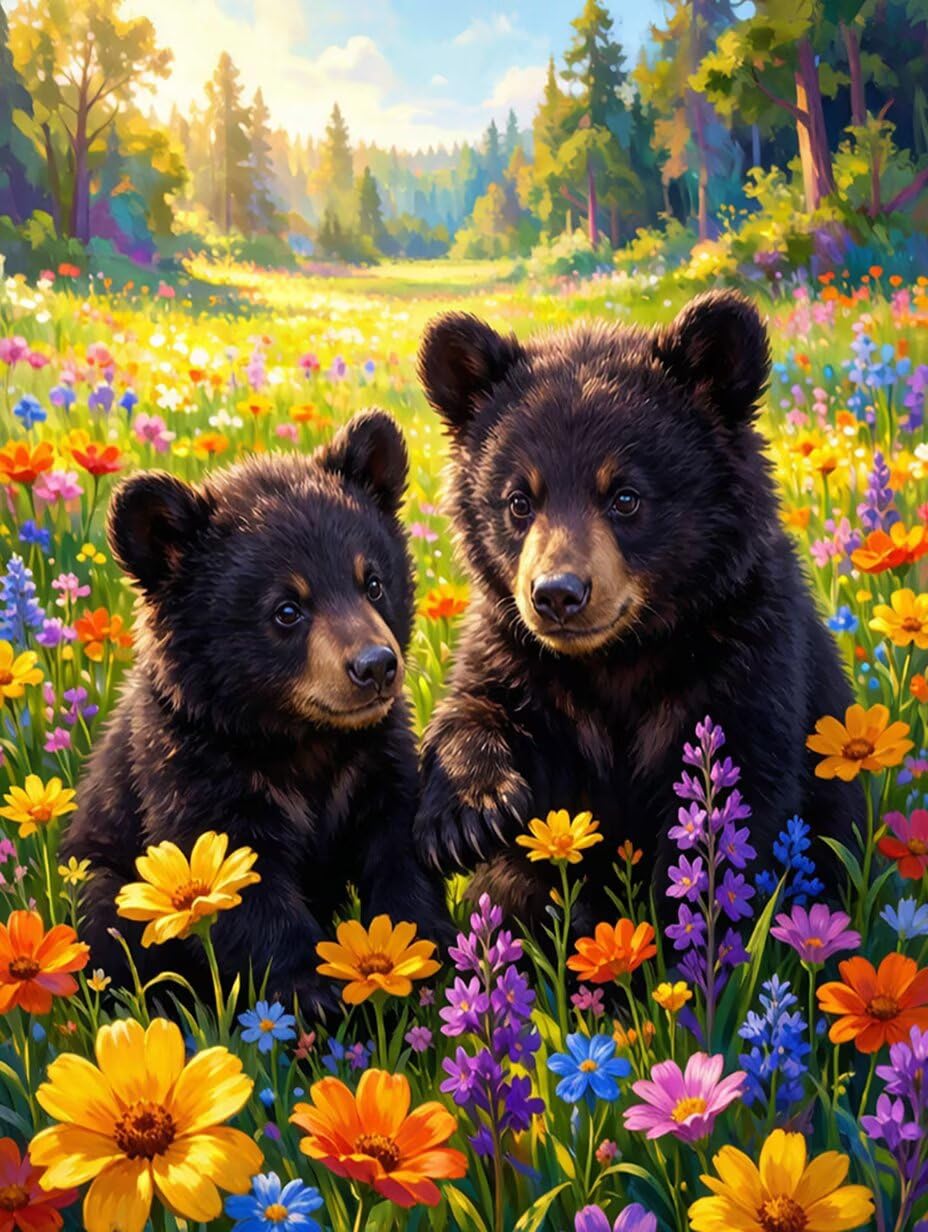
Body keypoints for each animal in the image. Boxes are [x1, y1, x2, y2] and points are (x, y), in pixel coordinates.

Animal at [62, 410, 450, 1018]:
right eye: (287, 610)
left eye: (373, 582)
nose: (376, 666)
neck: (300, 737)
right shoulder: (195, 767)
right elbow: (244, 882)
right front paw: (312, 991)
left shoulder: (376, 754)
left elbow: (399, 842)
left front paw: (417, 955)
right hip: (107, 880)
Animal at [413, 290, 862, 931]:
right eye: (519, 501)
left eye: (625, 497)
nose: (556, 594)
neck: (619, 654)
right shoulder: (517, 650)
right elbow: (476, 703)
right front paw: (468, 814)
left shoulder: (746, 655)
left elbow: (735, 795)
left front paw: (686, 924)